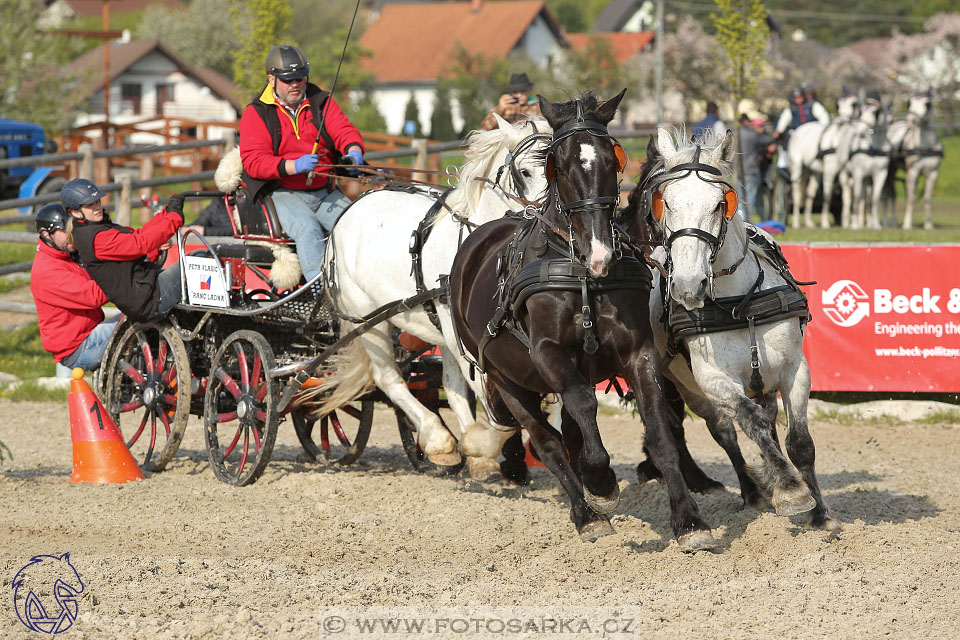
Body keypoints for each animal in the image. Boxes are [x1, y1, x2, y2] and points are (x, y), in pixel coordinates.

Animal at [308, 115, 548, 478]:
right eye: (525, 171)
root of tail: (348, 212)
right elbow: (499, 404)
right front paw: (486, 444)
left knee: (449, 383)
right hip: (369, 322)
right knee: (389, 379)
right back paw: (440, 441)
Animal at [448, 91, 712, 552]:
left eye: (612, 159)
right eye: (563, 163)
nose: (601, 251)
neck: (583, 274)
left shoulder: (638, 351)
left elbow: (661, 432)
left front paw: (689, 520)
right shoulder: (548, 353)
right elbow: (583, 408)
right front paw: (601, 483)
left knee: (570, 430)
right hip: (505, 377)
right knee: (549, 442)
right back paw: (587, 512)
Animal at [644, 129, 840, 528]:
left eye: (721, 204)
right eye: (665, 203)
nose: (687, 286)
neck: (737, 304)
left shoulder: (794, 371)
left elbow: (800, 443)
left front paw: (820, 512)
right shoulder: (712, 379)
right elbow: (751, 423)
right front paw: (789, 489)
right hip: (690, 388)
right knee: (725, 430)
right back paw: (753, 491)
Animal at [840, 97, 892, 230]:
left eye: (875, 112)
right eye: (861, 112)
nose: (858, 132)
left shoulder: (881, 174)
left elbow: (875, 198)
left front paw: (876, 224)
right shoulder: (858, 173)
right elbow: (857, 197)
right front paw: (854, 225)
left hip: (866, 179)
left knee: (865, 198)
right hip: (845, 174)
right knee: (848, 197)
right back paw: (846, 222)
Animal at [884, 91, 944, 229]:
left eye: (927, 104)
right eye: (909, 103)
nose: (912, 120)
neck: (924, 147)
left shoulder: (933, 174)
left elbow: (928, 198)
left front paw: (928, 225)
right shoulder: (913, 172)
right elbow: (910, 198)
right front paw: (907, 224)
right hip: (890, 171)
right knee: (888, 194)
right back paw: (887, 222)